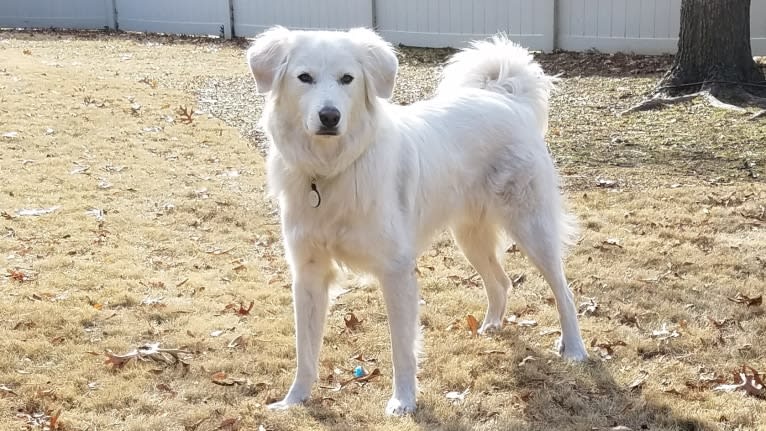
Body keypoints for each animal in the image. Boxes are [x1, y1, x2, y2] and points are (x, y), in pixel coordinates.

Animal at [246, 26, 588, 416]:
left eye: (347, 79)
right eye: (305, 78)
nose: (330, 116)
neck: (331, 170)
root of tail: (507, 100)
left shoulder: (396, 272)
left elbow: (401, 347)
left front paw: (404, 401)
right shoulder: (308, 274)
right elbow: (305, 350)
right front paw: (294, 400)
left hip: (533, 230)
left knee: (564, 292)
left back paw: (575, 349)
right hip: (469, 237)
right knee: (500, 282)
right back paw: (490, 326)